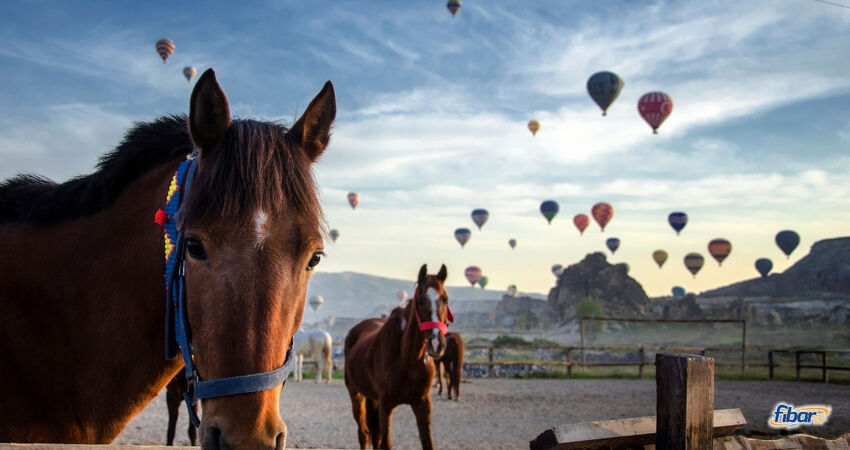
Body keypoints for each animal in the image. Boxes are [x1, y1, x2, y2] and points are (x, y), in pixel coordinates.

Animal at [342, 264, 454, 450]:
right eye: (420, 300)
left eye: (445, 299)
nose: (436, 343)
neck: (408, 359)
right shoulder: (386, 405)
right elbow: (385, 443)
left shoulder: (422, 403)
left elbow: (427, 443)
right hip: (356, 395)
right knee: (363, 433)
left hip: (373, 399)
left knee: (374, 436)